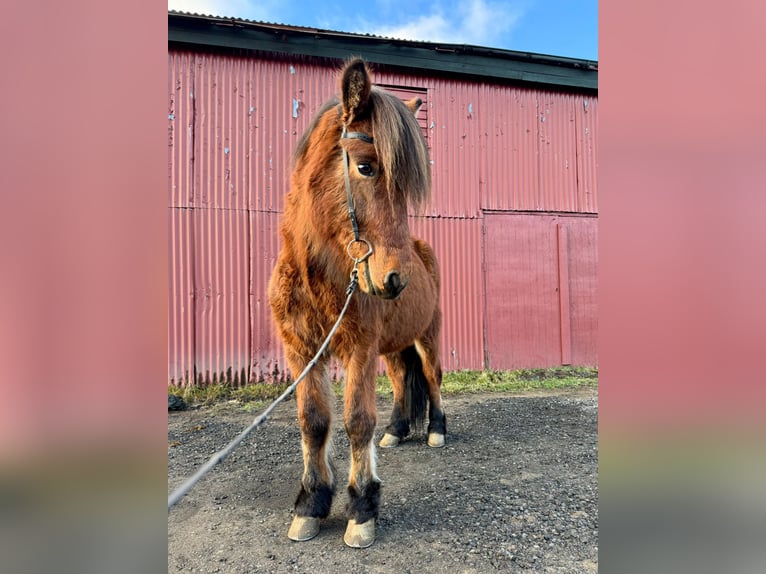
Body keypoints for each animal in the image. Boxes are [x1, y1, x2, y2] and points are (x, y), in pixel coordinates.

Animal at [267, 58, 446, 549]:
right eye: (365, 167)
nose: (394, 279)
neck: (321, 279)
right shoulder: (302, 352)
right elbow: (313, 421)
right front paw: (311, 503)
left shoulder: (359, 350)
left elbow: (357, 421)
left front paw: (362, 508)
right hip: (395, 346)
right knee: (404, 381)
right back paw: (397, 432)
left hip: (426, 337)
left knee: (431, 376)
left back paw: (437, 431)